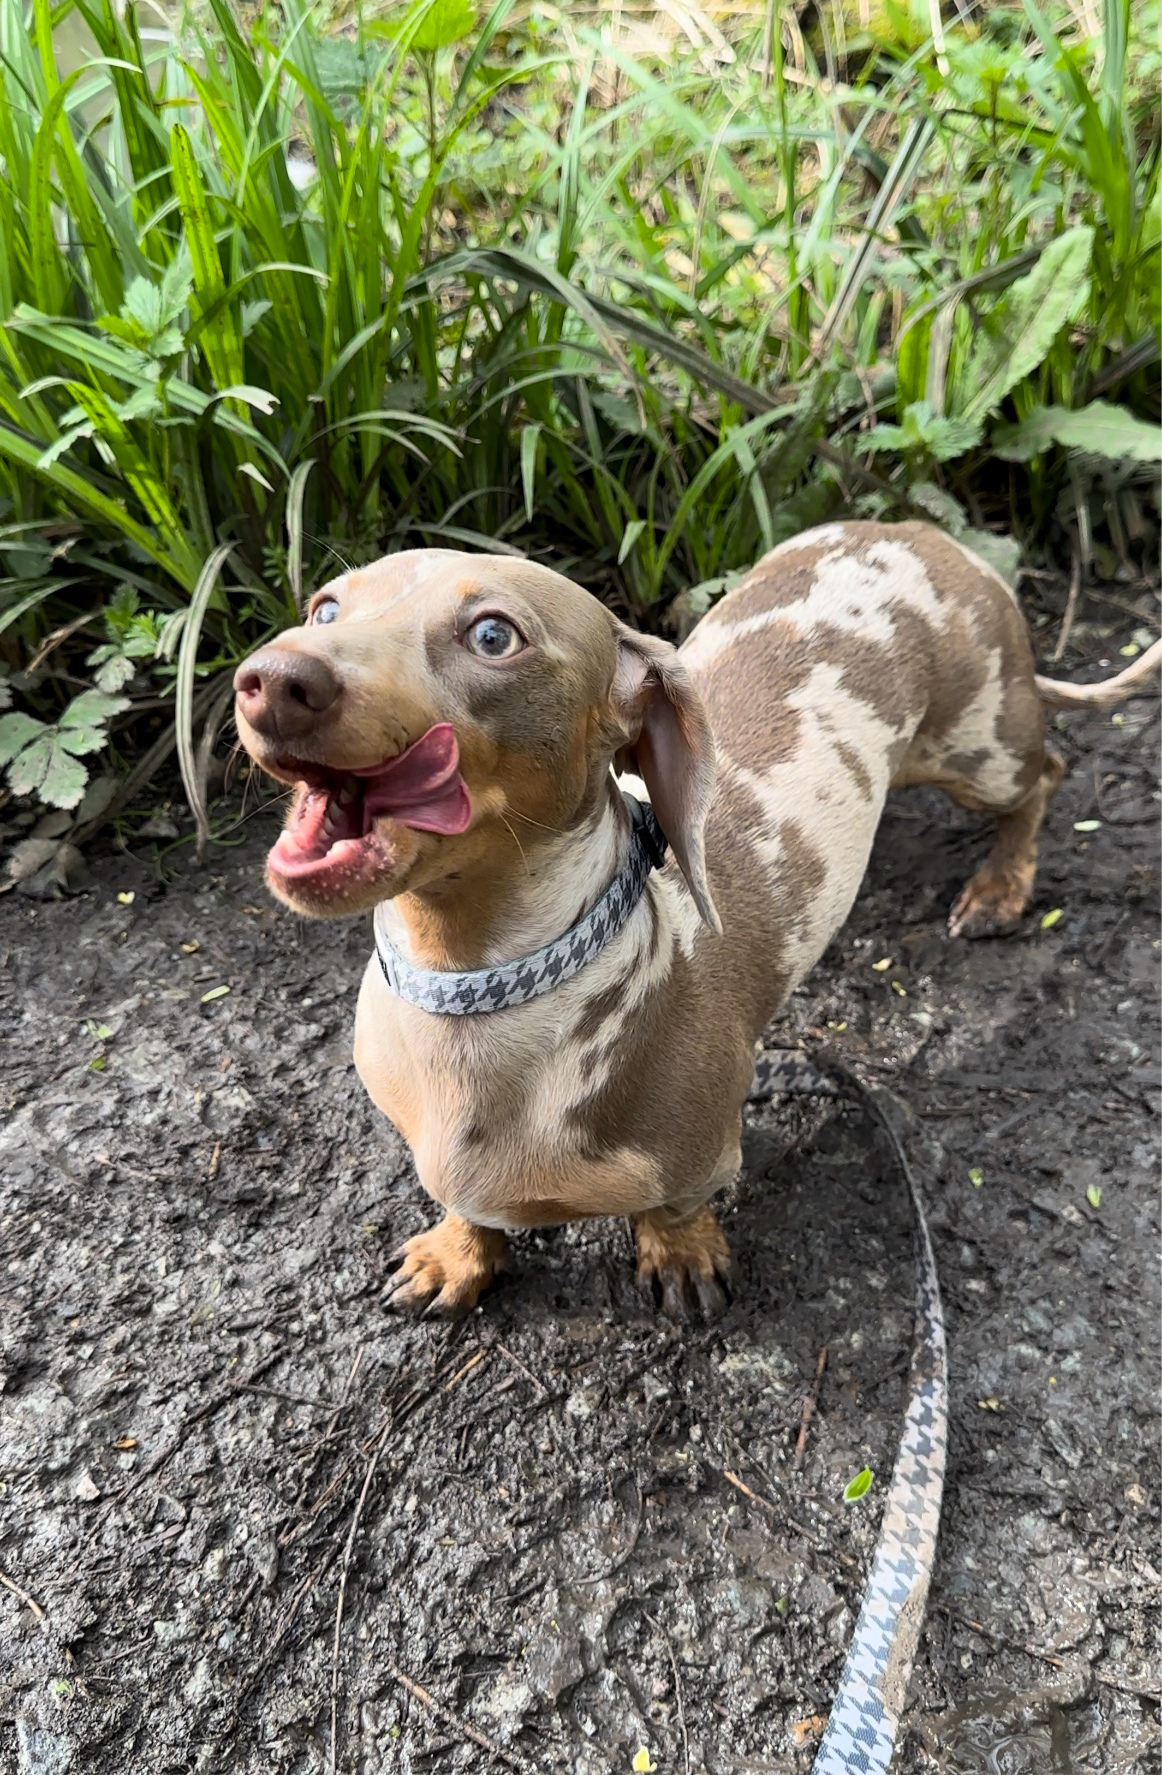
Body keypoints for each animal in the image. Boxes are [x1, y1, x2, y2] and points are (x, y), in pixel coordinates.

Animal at [232, 518, 1156, 1313]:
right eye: (324, 607)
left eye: (493, 635)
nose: (274, 678)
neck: (474, 1003)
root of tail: (928, 537)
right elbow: (470, 1211)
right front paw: (457, 1255)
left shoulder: (703, 1150)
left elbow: (675, 1205)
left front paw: (678, 1254)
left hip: (979, 750)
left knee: (1045, 775)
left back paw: (1002, 884)